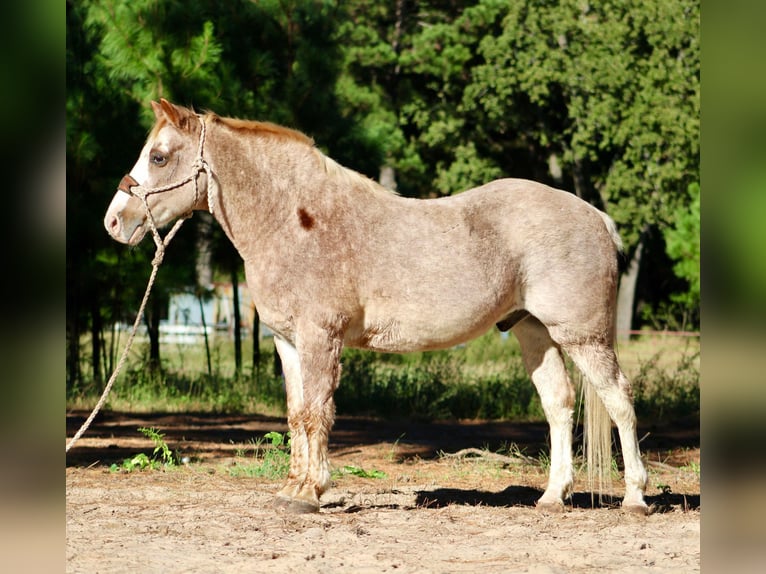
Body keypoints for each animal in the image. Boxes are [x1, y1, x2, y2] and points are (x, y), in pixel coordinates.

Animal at [105, 99, 652, 516]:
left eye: (158, 157)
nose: (113, 221)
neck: (295, 220)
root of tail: (598, 218)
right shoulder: (287, 342)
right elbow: (296, 414)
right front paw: (292, 488)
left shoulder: (319, 337)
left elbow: (317, 413)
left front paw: (311, 493)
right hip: (533, 331)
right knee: (559, 404)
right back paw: (552, 497)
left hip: (582, 335)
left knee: (619, 399)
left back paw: (635, 498)